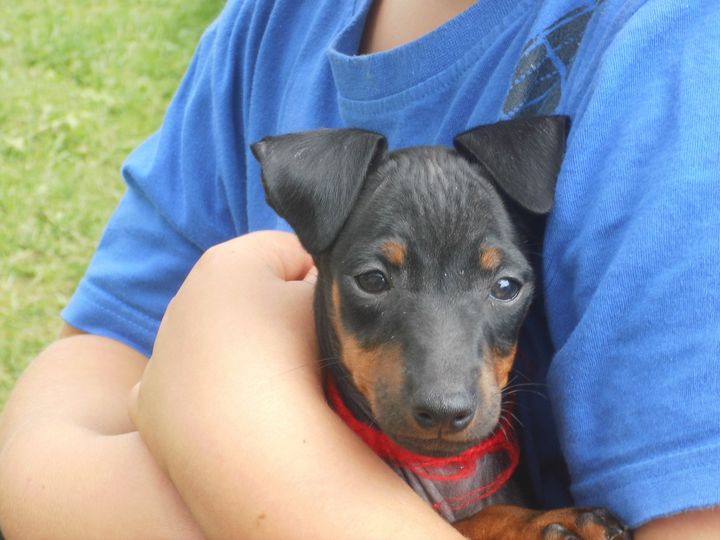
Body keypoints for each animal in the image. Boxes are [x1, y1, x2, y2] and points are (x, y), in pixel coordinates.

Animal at [251, 117, 631, 540]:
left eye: (506, 287)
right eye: (372, 280)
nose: (445, 411)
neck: (445, 474)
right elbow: (476, 519)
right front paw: (539, 522)